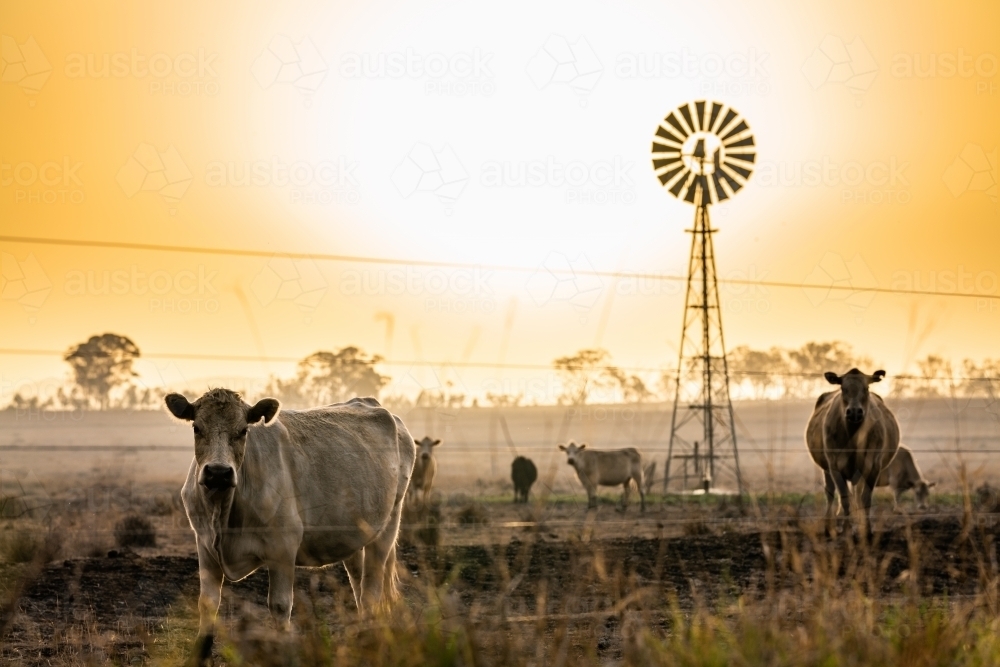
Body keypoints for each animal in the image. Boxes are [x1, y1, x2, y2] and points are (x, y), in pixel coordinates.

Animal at [166, 388, 416, 664]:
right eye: (196, 428)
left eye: (243, 430)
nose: (218, 472)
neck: (223, 513)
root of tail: (372, 403)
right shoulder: (205, 545)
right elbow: (208, 603)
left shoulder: (283, 548)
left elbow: (280, 605)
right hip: (355, 535)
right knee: (359, 584)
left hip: (387, 528)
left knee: (372, 589)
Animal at [808, 370, 904, 532]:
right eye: (842, 388)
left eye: (866, 388)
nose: (854, 412)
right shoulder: (834, 466)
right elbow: (845, 498)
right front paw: (847, 529)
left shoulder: (873, 466)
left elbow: (865, 499)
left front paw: (867, 529)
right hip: (827, 468)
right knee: (830, 493)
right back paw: (828, 525)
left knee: (857, 494)